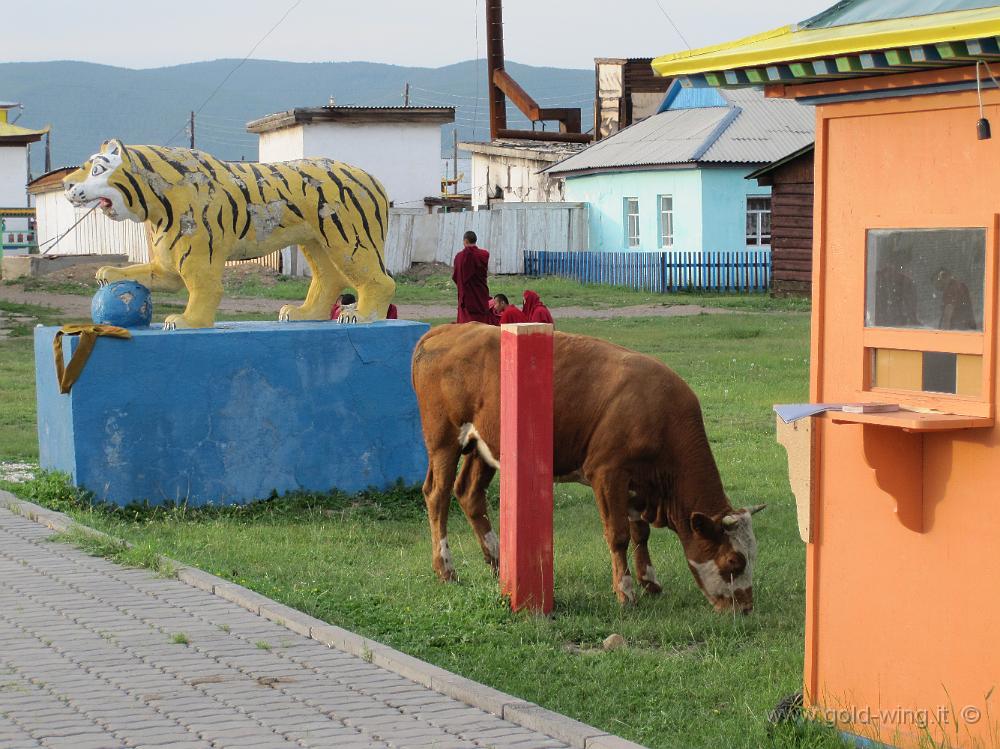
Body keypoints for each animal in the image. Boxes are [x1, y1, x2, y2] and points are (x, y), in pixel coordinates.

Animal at [412, 324, 764, 612]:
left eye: (753, 557)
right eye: (734, 561)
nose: (746, 607)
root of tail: (446, 330)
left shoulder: (637, 484)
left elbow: (640, 533)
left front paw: (649, 581)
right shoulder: (607, 473)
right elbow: (619, 535)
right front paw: (625, 592)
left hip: (484, 447)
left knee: (469, 494)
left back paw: (498, 561)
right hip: (444, 440)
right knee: (438, 496)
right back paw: (446, 568)